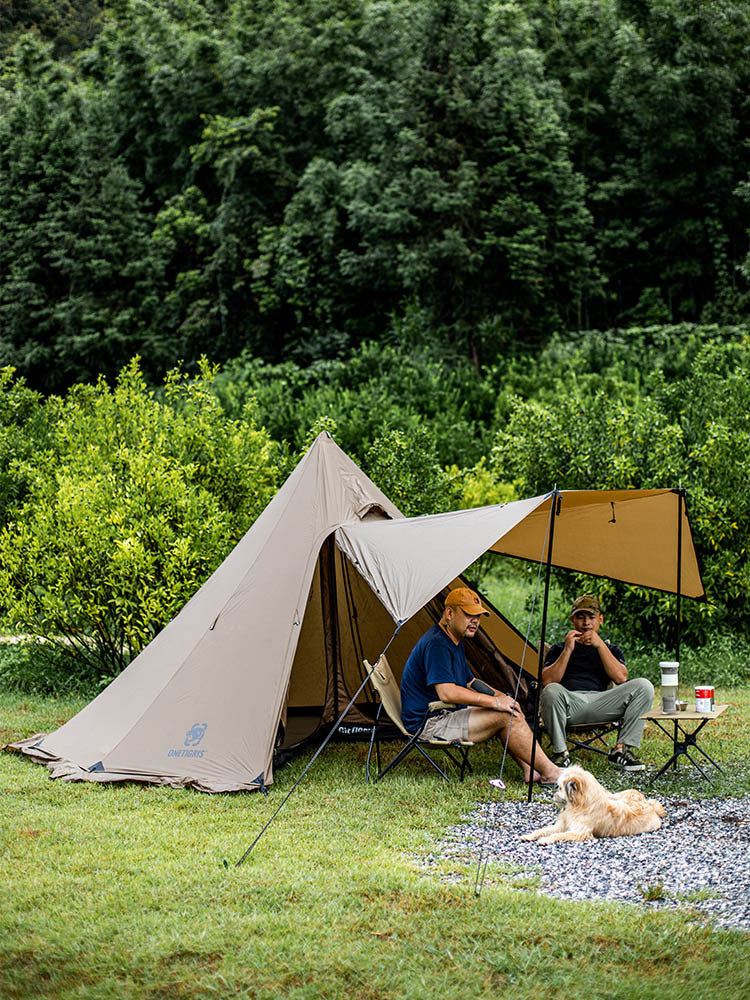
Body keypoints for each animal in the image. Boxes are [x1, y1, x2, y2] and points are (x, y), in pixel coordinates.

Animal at [520, 764, 668, 844]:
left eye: (559, 787)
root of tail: (650, 806)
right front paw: (530, 836)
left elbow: (559, 835)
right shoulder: (561, 826)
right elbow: (542, 830)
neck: (579, 805)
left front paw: (545, 839)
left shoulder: (580, 832)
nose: (553, 794)